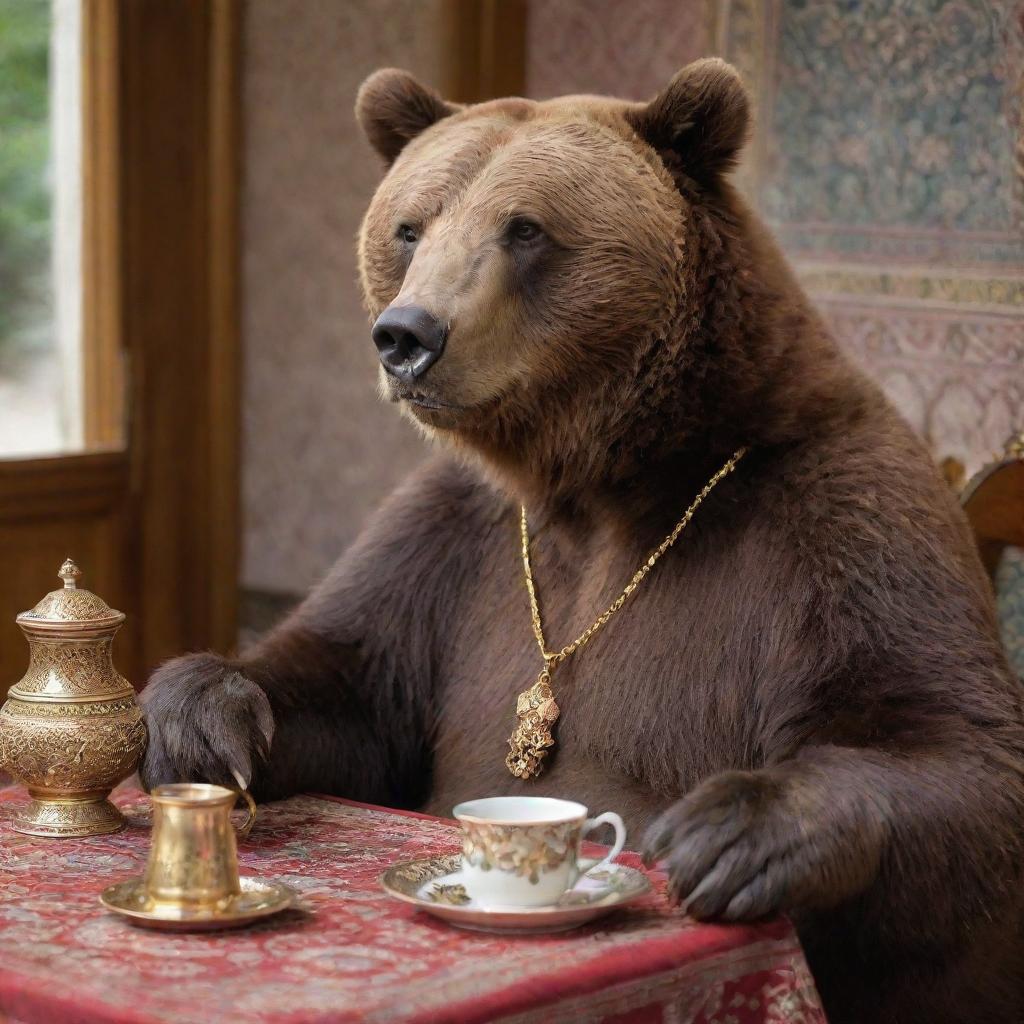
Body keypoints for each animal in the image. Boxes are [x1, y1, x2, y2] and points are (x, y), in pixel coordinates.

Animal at [140, 59, 1024, 1019]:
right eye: (411, 225)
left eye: (525, 228)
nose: (407, 335)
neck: (607, 479)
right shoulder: (457, 545)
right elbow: (352, 676)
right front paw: (200, 720)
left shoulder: (836, 526)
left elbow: (950, 741)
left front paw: (728, 831)